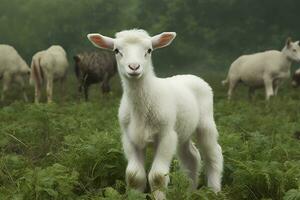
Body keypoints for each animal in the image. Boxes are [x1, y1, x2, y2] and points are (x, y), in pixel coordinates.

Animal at [86, 28, 223, 199]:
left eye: (149, 50)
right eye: (116, 50)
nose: (134, 67)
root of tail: (191, 75)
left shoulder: (167, 135)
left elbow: (157, 176)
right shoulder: (129, 138)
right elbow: (134, 176)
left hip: (206, 122)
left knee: (213, 154)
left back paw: (214, 190)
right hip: (183, 130)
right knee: (191, 157)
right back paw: (189, 191)